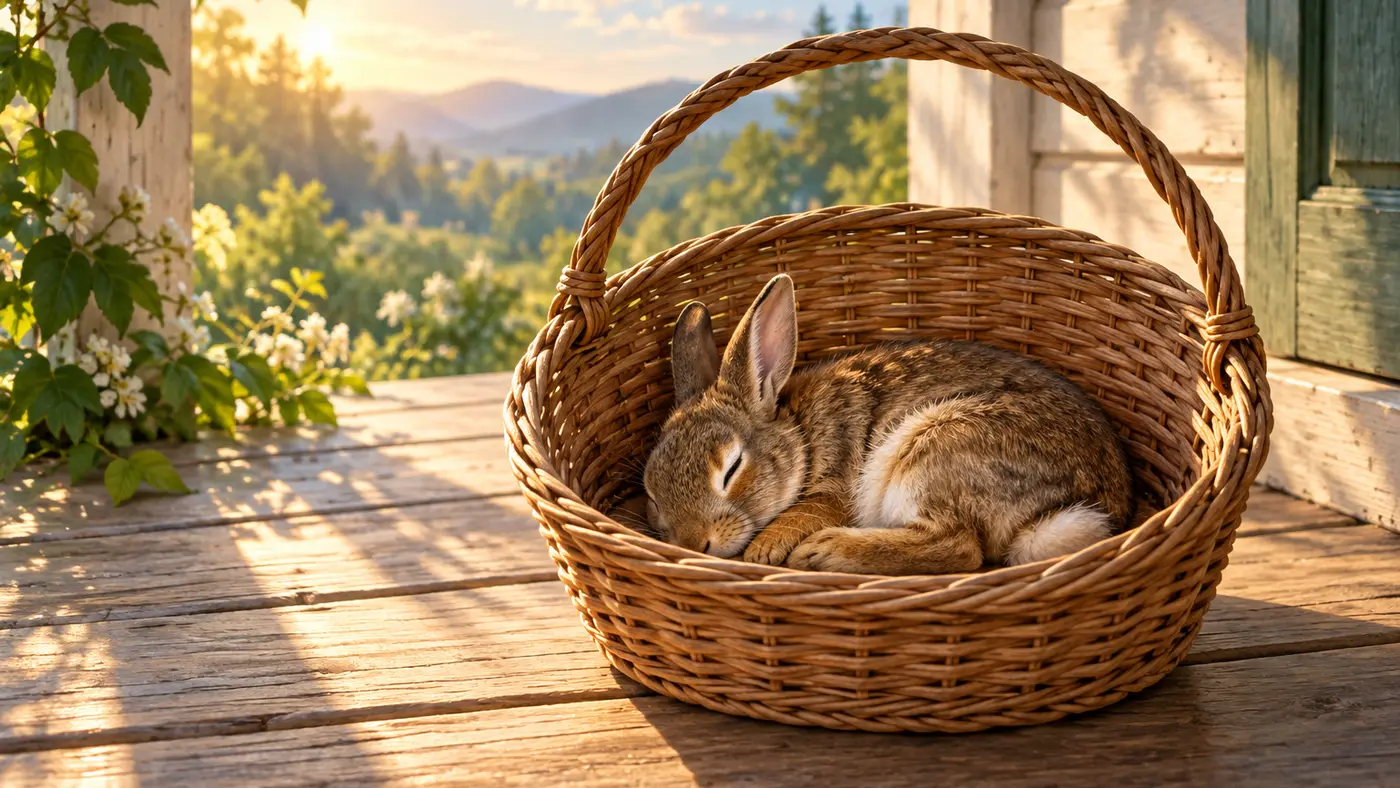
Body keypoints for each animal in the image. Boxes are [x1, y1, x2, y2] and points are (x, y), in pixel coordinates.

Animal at [640, 274, 1134, 575]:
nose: (695, 544)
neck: (799, 434)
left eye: (732, 468)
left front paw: (769, 547)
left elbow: (813, 508)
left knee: (959, 545)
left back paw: (825, 550)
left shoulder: (837, 485)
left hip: (935, 448)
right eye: (651, 493)